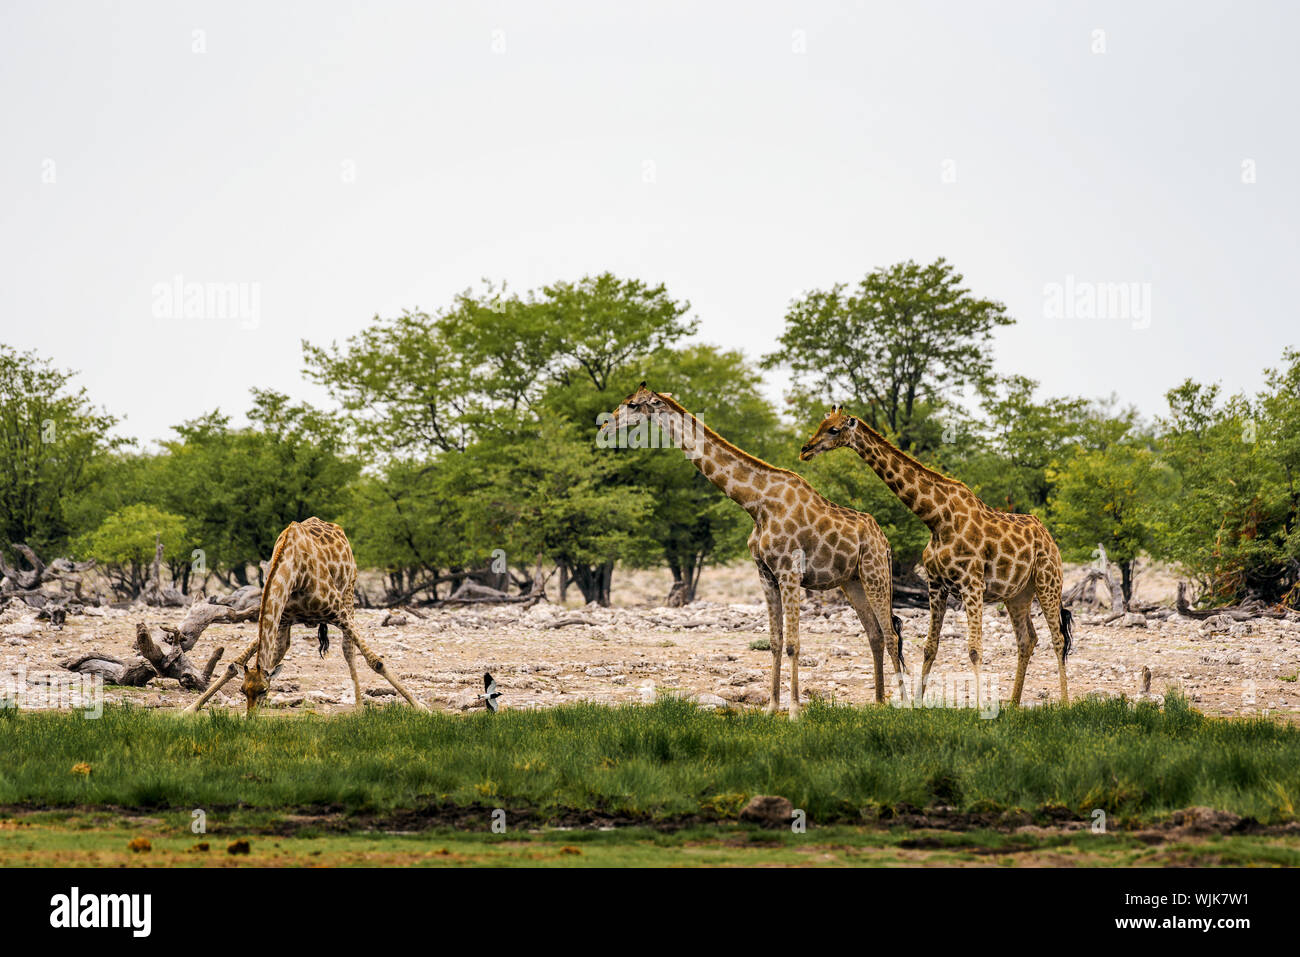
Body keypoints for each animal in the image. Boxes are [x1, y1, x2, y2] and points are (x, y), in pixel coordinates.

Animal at [185, 520, 426, 712]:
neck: (295, 572)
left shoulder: (339, 612)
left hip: (349, 595)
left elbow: (376, 662)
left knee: (348, 650)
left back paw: (359, 707)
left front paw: (422, 708)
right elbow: (239, 663)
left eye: (263, 690)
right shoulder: (282, 618)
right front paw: (189, 709)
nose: (250, 717)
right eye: (244, 691)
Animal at [598, 382, 904, 717]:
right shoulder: (765, 573)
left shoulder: (789, 572)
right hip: (852, 581)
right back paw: (879, 703)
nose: (604, 425)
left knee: (891, 634)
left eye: (633, 405)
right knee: (875, 633)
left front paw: (795, 711)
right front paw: (771, 708)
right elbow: (775, 640)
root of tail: (885, 542)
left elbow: (794, 642)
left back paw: (905, 703)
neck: (756, 503)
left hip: (875, 573)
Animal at [795, 408, 1071, 707]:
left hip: (1048, 581)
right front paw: (917, 703)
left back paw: (1065, 702)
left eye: (833, 429)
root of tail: (1050, 538)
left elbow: (974, 649)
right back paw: (1013, 703)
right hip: (1018, 593)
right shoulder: (936, 584)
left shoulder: (972, 583)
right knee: (1027, 639)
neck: (936, 518)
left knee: (1057, 638)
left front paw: (979, 706)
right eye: (821, 424)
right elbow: (929, 647)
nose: (805, 449)